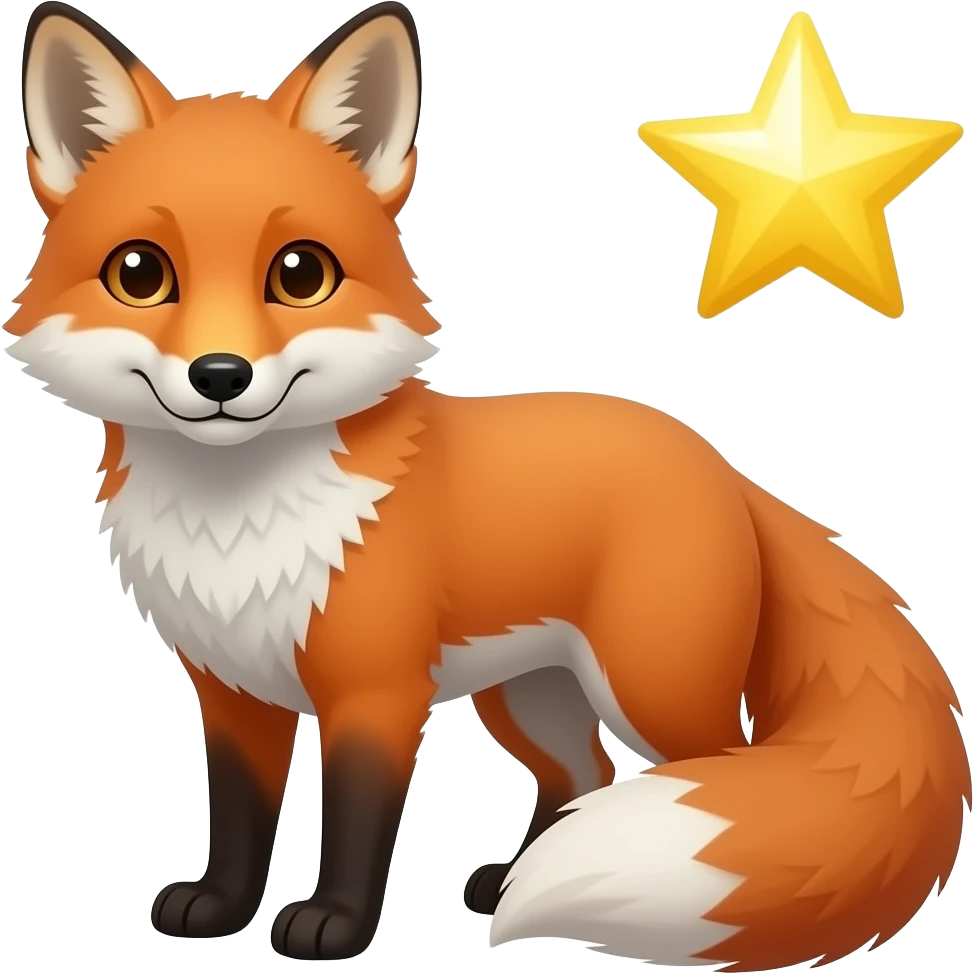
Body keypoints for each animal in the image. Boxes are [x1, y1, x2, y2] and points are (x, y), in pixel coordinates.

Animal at [6, 0, 970, 968]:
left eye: (300, 273)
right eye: (140, 273)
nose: (219, 375)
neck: (237, 524)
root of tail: (719, 462)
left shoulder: (377, 692)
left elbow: (356, 822)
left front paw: (335, 925)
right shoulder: (235, 690)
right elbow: (240, 818)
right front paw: (219, 906)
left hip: (649, 687)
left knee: (707, 774)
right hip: (528, 692)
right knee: (587, 770)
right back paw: (516, 879)